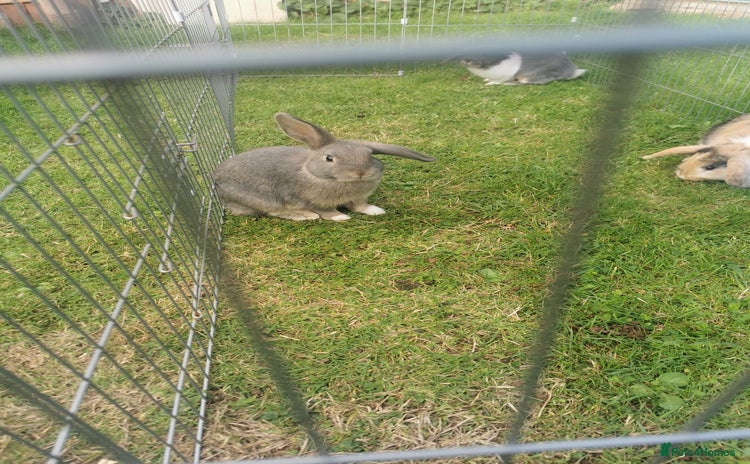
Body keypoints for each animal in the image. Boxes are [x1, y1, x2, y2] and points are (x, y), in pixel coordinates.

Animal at [213, 112, 436, 221]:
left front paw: (375, 210)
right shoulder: (311, 200)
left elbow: (360, 205)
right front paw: (340, 217)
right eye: (329, 158)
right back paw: (305, 216)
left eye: (369, 154)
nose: (361, 172)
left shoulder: (358, 198)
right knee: (274, 212)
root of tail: (215, 177)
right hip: (262, 200)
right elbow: (327, 211)